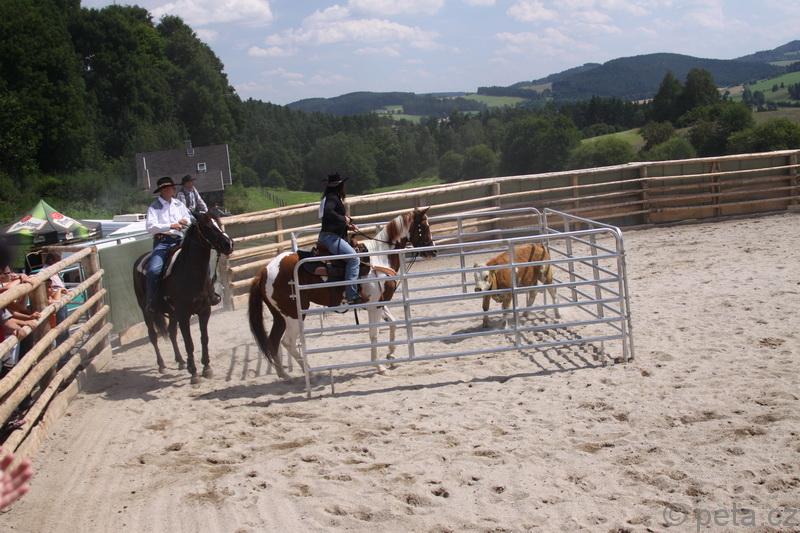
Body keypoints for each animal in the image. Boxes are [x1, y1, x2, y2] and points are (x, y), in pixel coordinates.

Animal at [133, 210, 234, 383]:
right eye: (207, 226)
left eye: (218, 222)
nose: (229, 244)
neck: (189, 273)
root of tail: (139, 260)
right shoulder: (183, 314)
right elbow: (189, 343)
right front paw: (194, 374)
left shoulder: (204, 311)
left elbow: (204, 338)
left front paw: (206, 368)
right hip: (146, 311)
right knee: (153, 336)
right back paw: (162, 365)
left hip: (172, 313)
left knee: (172, 333)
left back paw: (180, 361)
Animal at [248, 207, 436, 379]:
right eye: (424, 227)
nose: (433, 251)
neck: (379, 257)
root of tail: (264, 271)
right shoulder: (373, 305)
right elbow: (373, 334)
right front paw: (379, 366)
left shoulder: (379, 303)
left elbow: (393, 323)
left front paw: (391, 354)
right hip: (293, 314)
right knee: (288, 342)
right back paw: (309, 372)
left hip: (280, 316)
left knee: (273, 341)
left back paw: (284, 374)